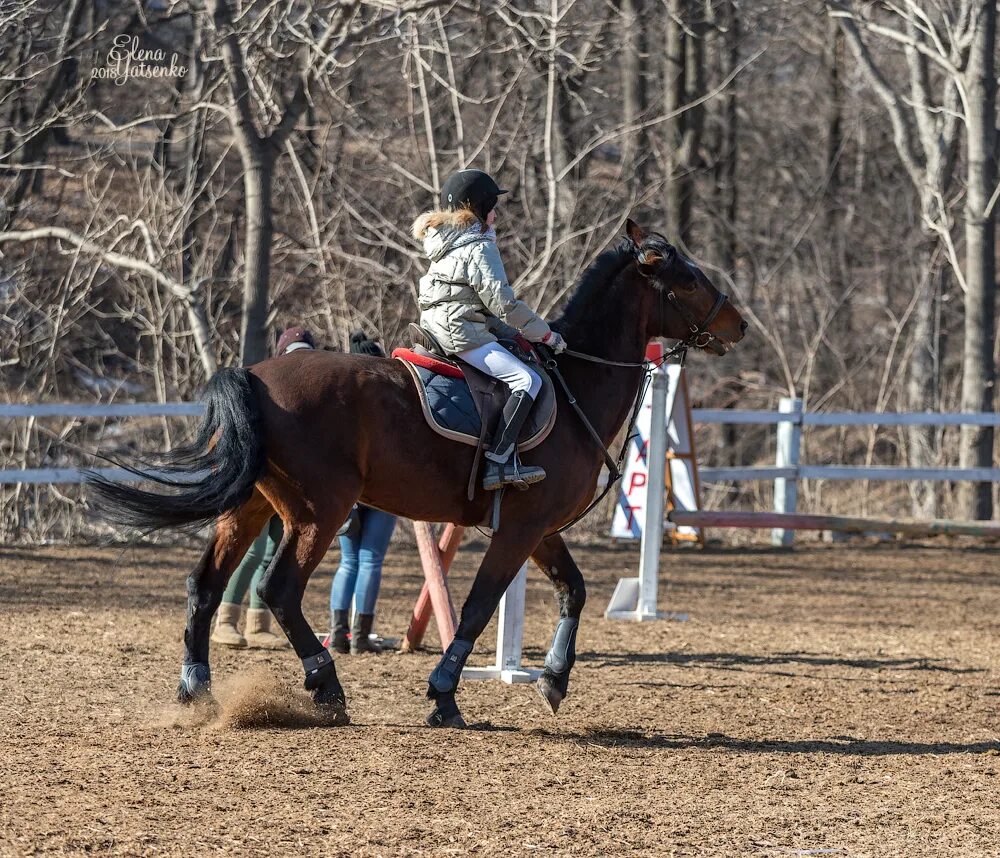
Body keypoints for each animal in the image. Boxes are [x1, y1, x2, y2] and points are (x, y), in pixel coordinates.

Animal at [90, 217, 748, 724]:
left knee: (204, 585)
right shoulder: (518, 530)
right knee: (278, 589)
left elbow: (575, 590)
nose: (737, 324)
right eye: (688, 278)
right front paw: (444, 696)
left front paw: (554, 680)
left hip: (250, 506)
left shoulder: (539, 529)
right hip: (318, 512)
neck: (574, 385)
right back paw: (326, 688)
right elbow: (480, 607)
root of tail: (254, 375)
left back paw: (196, 690)